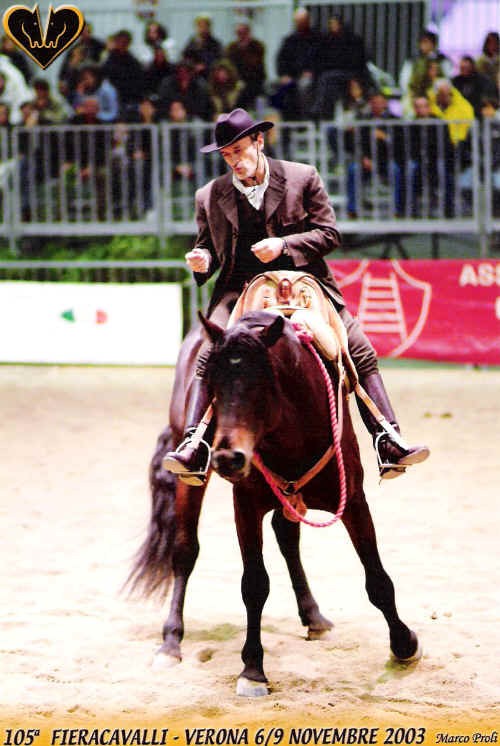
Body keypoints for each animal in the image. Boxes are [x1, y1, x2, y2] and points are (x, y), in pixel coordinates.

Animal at [130, 306, 422, 696]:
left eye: (262, 385)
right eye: (212, 386)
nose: (228, 458)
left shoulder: (353, 501)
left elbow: (376, 578)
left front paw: (404, 644)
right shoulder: (245, 506)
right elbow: (254, 585)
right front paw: (253, 669)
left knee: (287, 539)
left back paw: (313, 617)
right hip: (189, 483)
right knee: (185, 551)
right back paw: (171, 642)